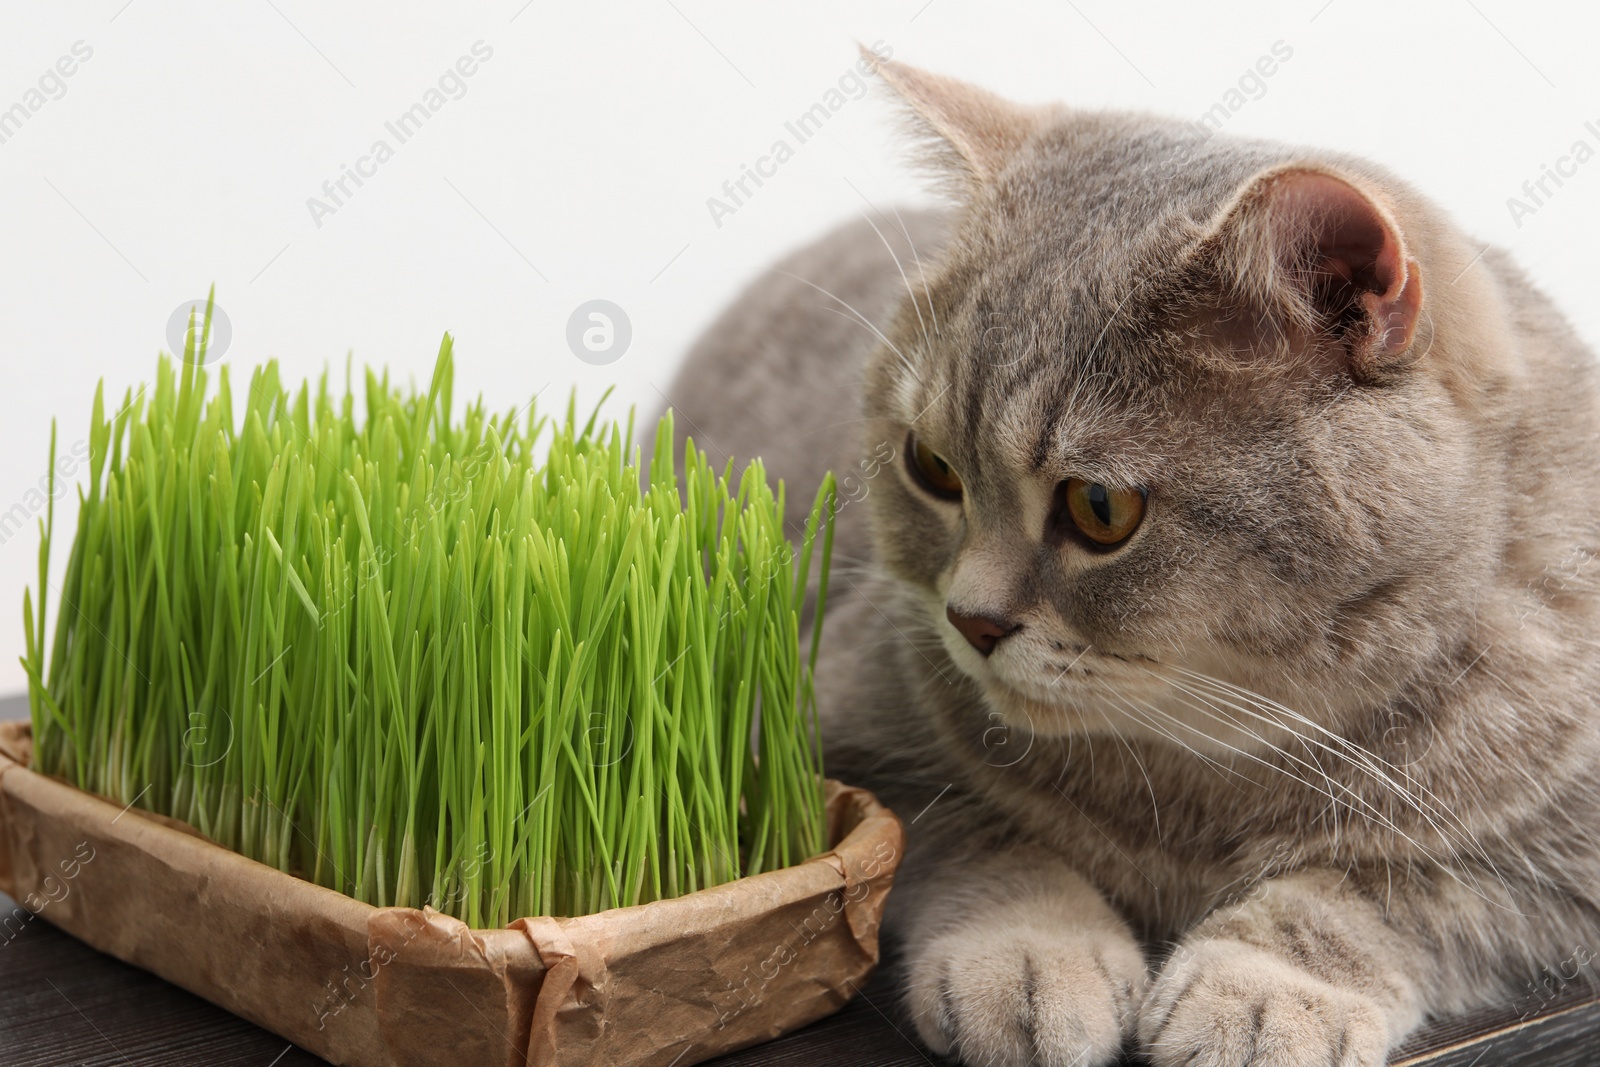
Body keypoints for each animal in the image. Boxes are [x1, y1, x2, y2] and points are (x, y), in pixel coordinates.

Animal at [662, 51, 1600, 1067]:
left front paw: (1260, 992)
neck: (1197, 778)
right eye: (931, 466)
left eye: (1100, 508)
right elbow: (973, 832)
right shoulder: (827, 732)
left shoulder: (1558, 866)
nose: (969, 620)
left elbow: (1387, 890)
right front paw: (1032, 954)